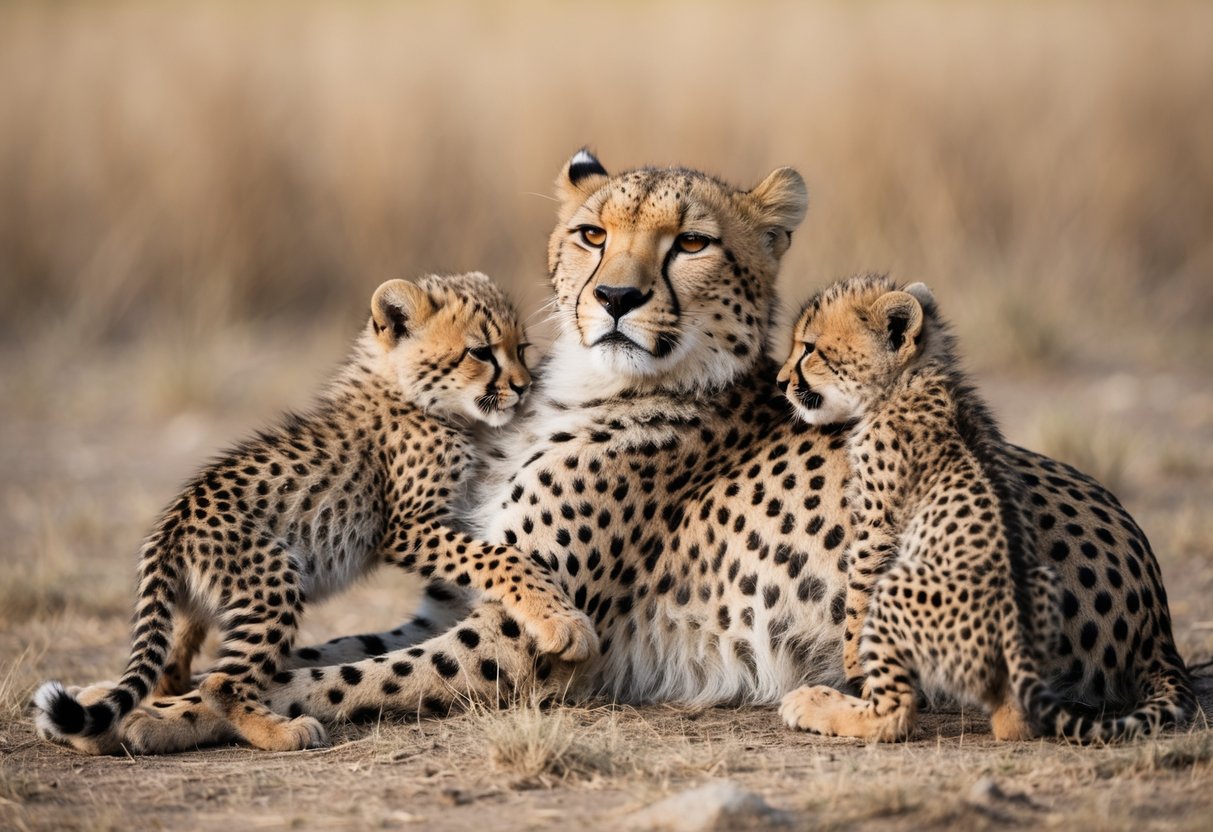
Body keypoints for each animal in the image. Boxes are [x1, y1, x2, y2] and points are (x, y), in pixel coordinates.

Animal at [32, 272, 595, 755]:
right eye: (481, 352)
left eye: (522, 349)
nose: (523, 387)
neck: (408, 393)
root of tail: (174, 522)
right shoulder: (407, 528)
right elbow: (499, 555)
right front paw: (561, 622)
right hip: (273, 580)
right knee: (221, 682)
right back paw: (281, 733)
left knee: (174, 672)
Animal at [777, 274, 1194, 741]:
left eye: (809, 348)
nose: (780, 381)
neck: (912, 380)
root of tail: (1159, 636)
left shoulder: (878, 528)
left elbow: (857, 599)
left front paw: (852, 663)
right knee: (1016, 722)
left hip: (904, 589)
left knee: (897, 713)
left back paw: (814, 705)